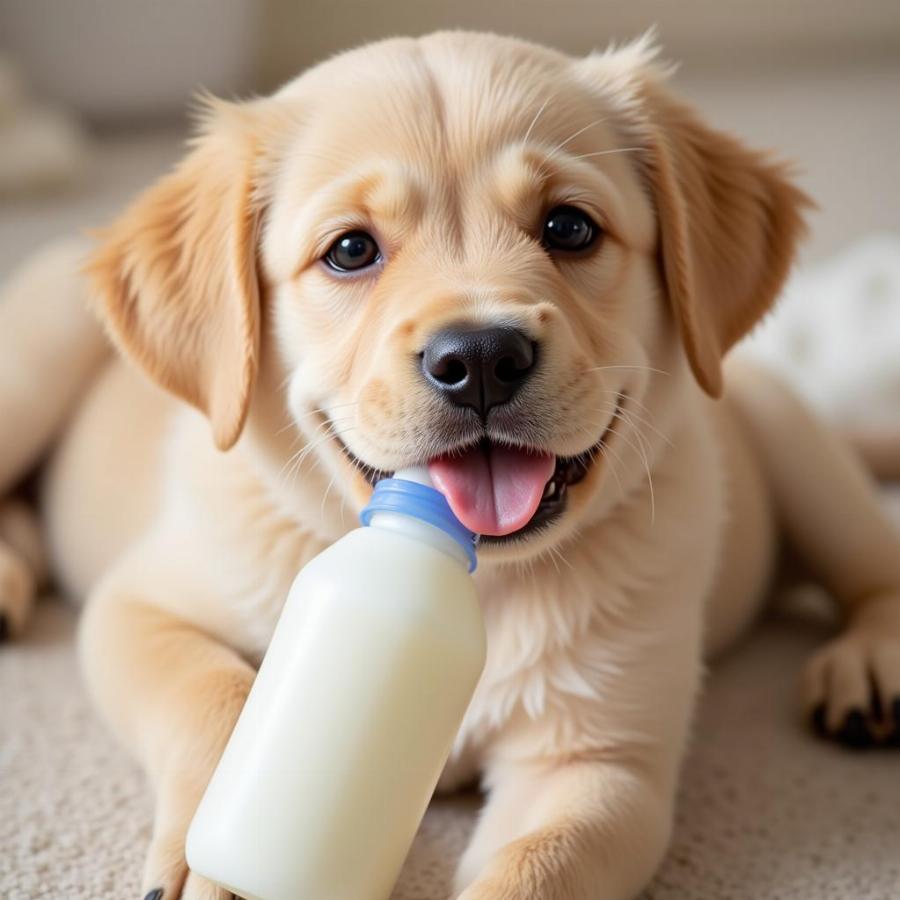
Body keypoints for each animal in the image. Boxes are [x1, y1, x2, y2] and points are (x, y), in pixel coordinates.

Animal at [1, 29, 900, 900]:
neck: (460, 571)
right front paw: (214, 859)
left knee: (871, 559)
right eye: (350, 250)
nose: (481, 359)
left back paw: (871, 665)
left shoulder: (599, 761)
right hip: (37, 356)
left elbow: (539, 866)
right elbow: (212, 698)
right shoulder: (136, 606)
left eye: (569, 228)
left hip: (787, 428)